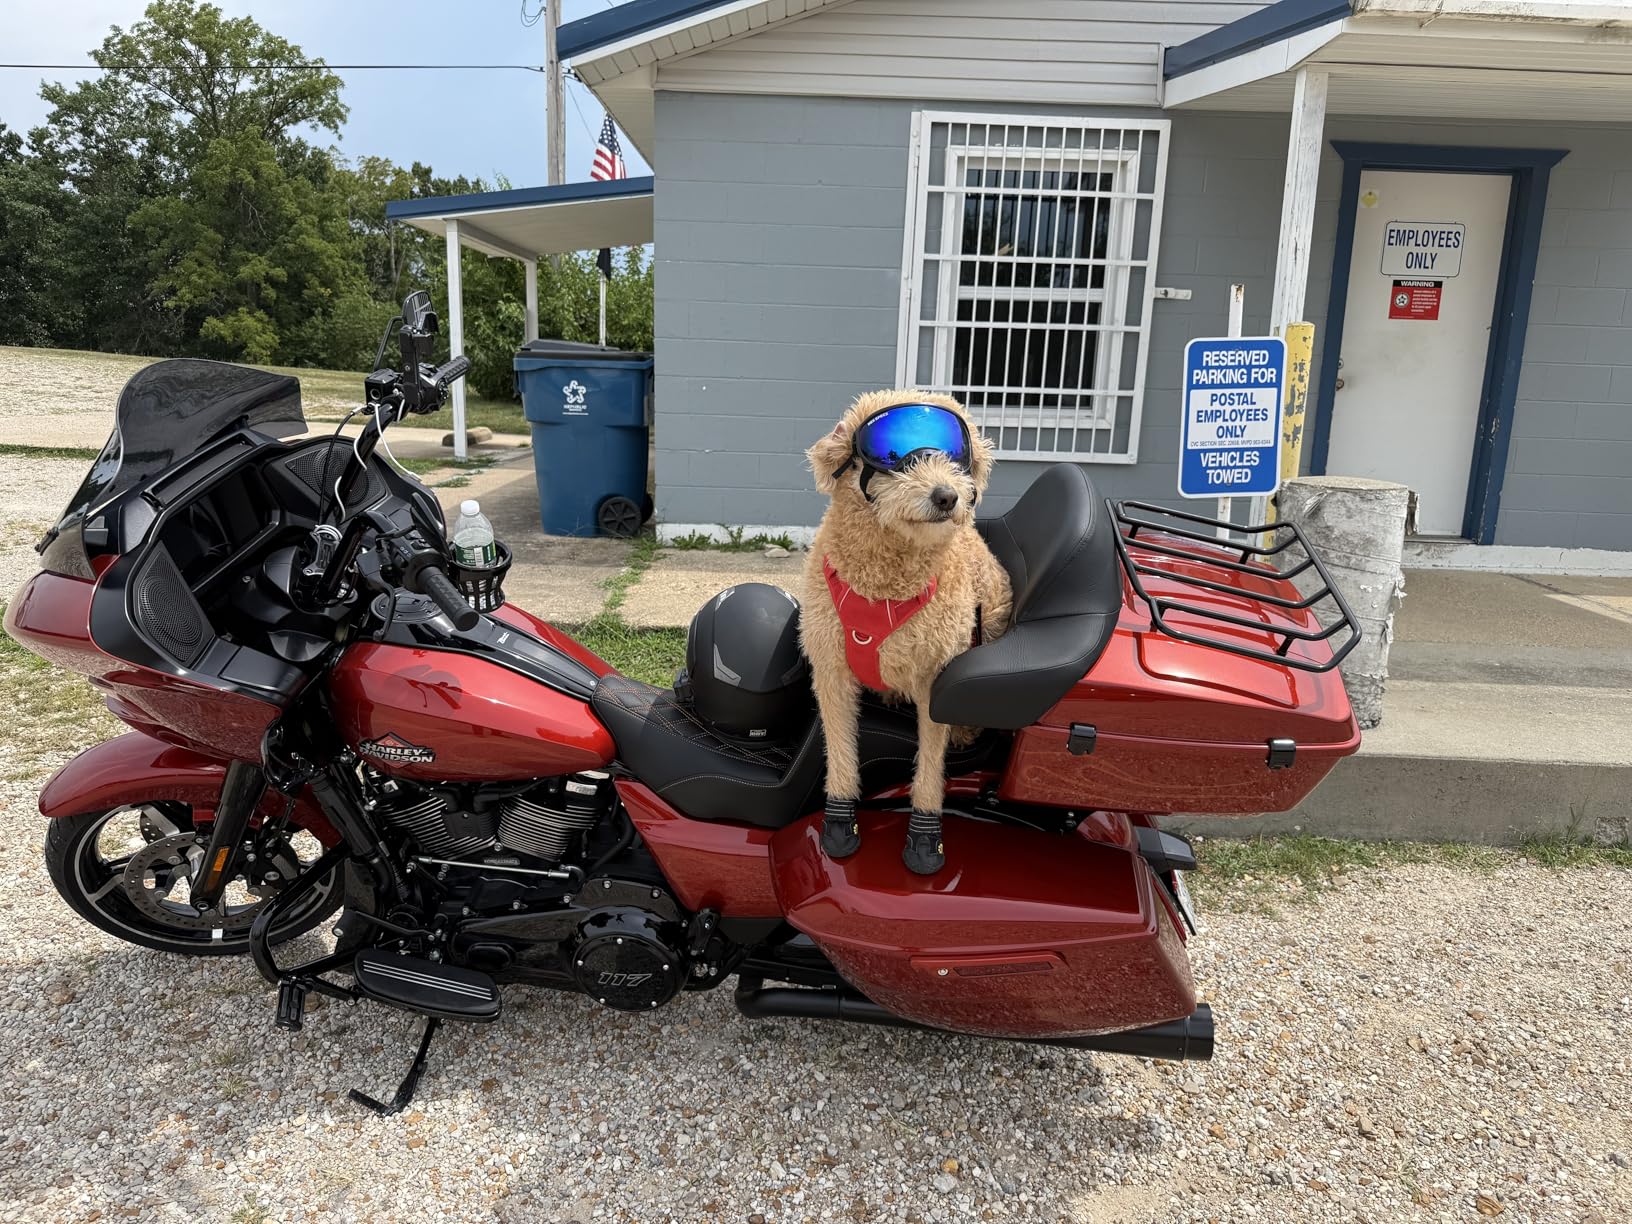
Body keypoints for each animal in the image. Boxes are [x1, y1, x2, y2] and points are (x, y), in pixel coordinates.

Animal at [800, 390, 1012, 875]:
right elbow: (841, 751)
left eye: (957, 454)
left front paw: (925, 833)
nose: (947, 496)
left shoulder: (935, 677)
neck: (882, 584)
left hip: (992, 614)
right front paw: (839, 817)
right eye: (892, 454)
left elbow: (930, 766)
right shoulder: (830, 670)